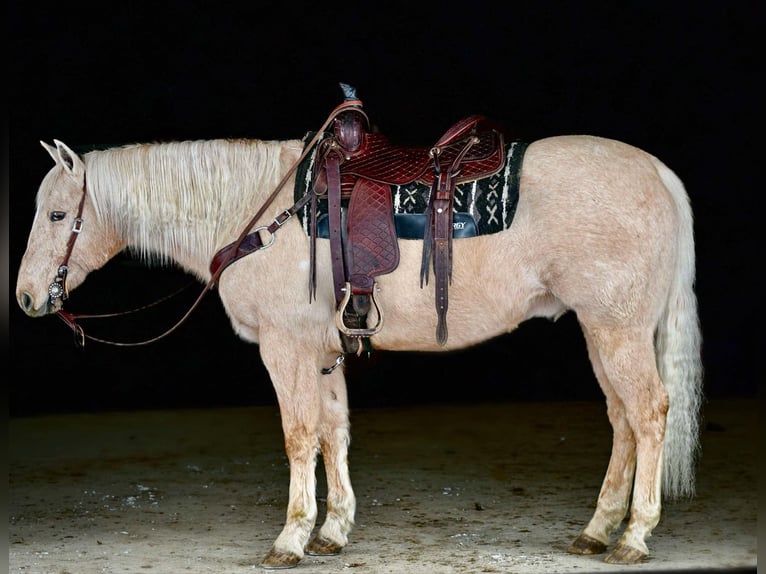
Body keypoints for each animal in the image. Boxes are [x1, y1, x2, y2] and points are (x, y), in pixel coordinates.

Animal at [15, 102, 704, 568]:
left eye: (56, 213)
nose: (25, 297)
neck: (262, 211)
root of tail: (658, 172)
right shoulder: (323, 353)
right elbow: (332, 432)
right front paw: (332, 530)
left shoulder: (286, 348)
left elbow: (299, 436)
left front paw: (291, 537)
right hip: (602, 331)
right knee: (622, 419)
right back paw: (598, 529)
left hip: (617, 329)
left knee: (648, 414)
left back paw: (634, 535)